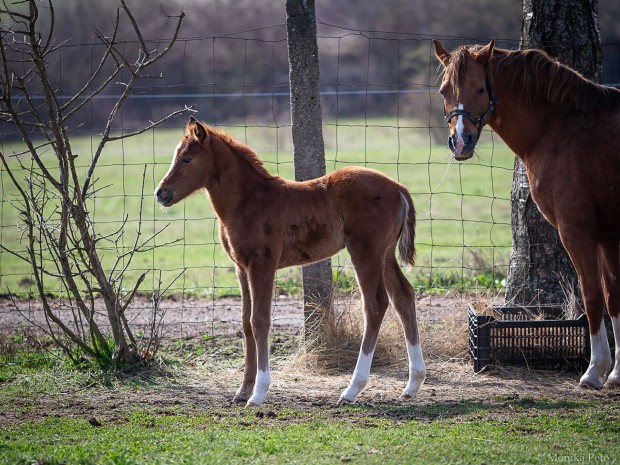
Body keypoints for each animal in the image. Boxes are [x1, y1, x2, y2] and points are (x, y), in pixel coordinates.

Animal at [156, 117, 426, 406]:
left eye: (186, 159)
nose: (161, 193)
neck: (247, 202)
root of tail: (399, 189)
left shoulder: (262, 264)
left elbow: (260, 320)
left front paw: (259, 392)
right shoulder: (241, 268)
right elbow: (245, 322)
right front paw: (243, 390)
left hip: (365, 252)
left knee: (375, 305)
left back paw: (352, 389)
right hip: (384, 254)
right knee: (403, 296)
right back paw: (413, 384)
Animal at [434, 39, 620, 388]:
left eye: (480, 88)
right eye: (443, 90)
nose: (461, 142)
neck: (561, 125)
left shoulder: (577, 231)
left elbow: (592, 296)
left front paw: (595, 370)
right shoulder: (608, 236)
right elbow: (613, 294)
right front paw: (616, 372)